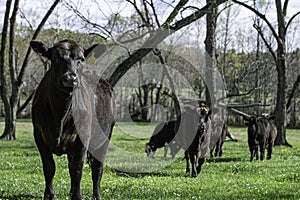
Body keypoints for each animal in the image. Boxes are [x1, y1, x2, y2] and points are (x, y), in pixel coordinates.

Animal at [30, 39, 115, 200]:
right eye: (54, 58)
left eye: (81, 59)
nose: (70, 78)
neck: (60, 116)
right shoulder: (38, 134)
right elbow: (49, 167)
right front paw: (49, 195)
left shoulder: (82, 138)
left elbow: (77, 170)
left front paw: (77, 196)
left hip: (104, 139)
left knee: (97, 169)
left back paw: (96, 195)